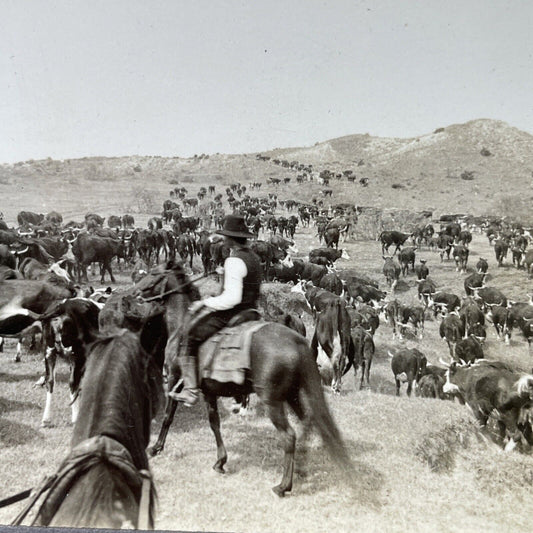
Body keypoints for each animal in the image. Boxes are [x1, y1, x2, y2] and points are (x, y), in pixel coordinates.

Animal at [137, 260, 354, 496]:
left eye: (153, 273)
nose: (135, 292)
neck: (181, 327)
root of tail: (296, 343)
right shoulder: (209, 391)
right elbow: (214, 423)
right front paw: (220, 461)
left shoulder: (175, 380)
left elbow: (169, 416)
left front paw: (156, 447)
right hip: (292, 395)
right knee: (308, 422)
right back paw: (301, 468)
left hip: (273, 401)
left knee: (289, 436)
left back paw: (283, 485)